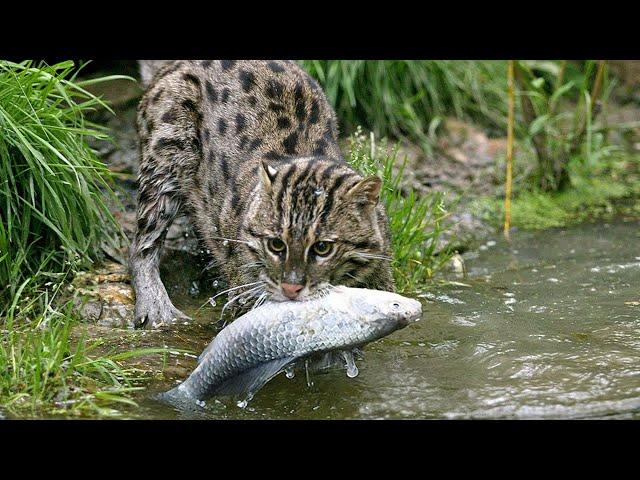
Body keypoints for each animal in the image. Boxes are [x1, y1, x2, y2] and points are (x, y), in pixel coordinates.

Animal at [132, 60, 396, 328]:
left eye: (323, 247)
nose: (291, 288)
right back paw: (155, 305)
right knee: (143, 241)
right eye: (275, 245)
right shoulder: (245, 287)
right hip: (167, 150)